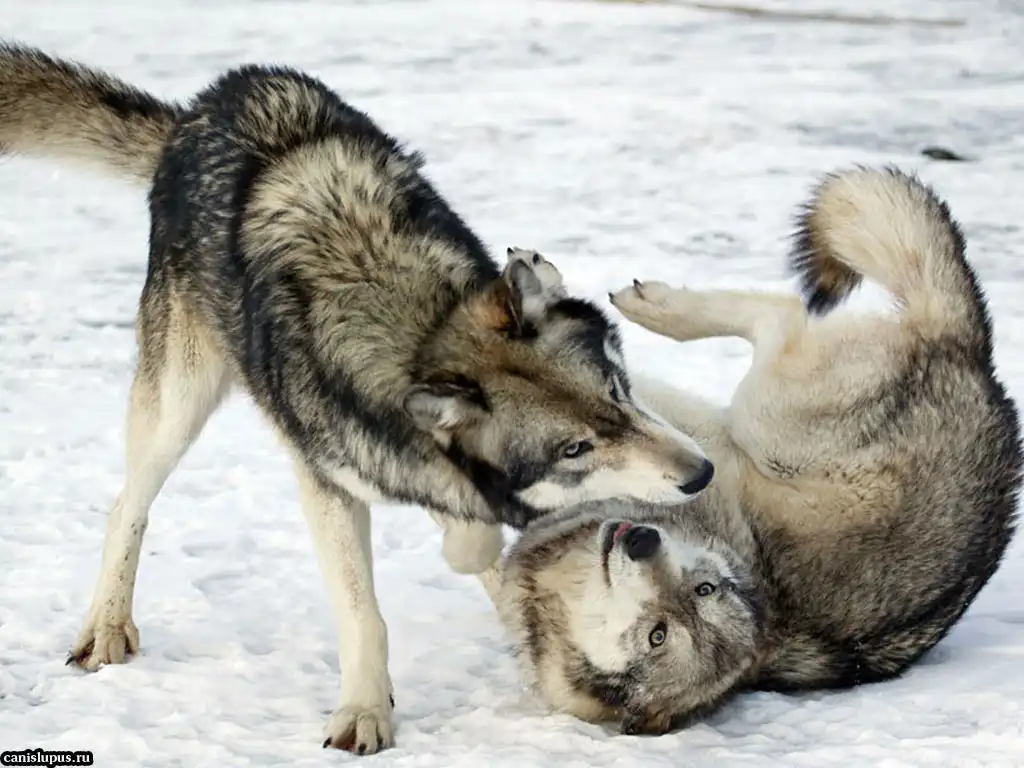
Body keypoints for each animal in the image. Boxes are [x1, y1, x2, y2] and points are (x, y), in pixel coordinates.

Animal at [0, 42, 715, 753]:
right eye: (576, 449)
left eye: (618, 390)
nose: (701, 474)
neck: (420, 333)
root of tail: (199, 110)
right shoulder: (328, 481)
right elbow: (363, 611)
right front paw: (365, 712)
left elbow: (485, 545)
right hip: (179, 403)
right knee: (129, 503)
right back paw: (107, 626)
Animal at [443, 167, 1023, 735]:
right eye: (704, 590)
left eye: (661, 633)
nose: (643, 541)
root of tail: (980, 364)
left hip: (770, 412)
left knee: (782, 314)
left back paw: (657, 308)